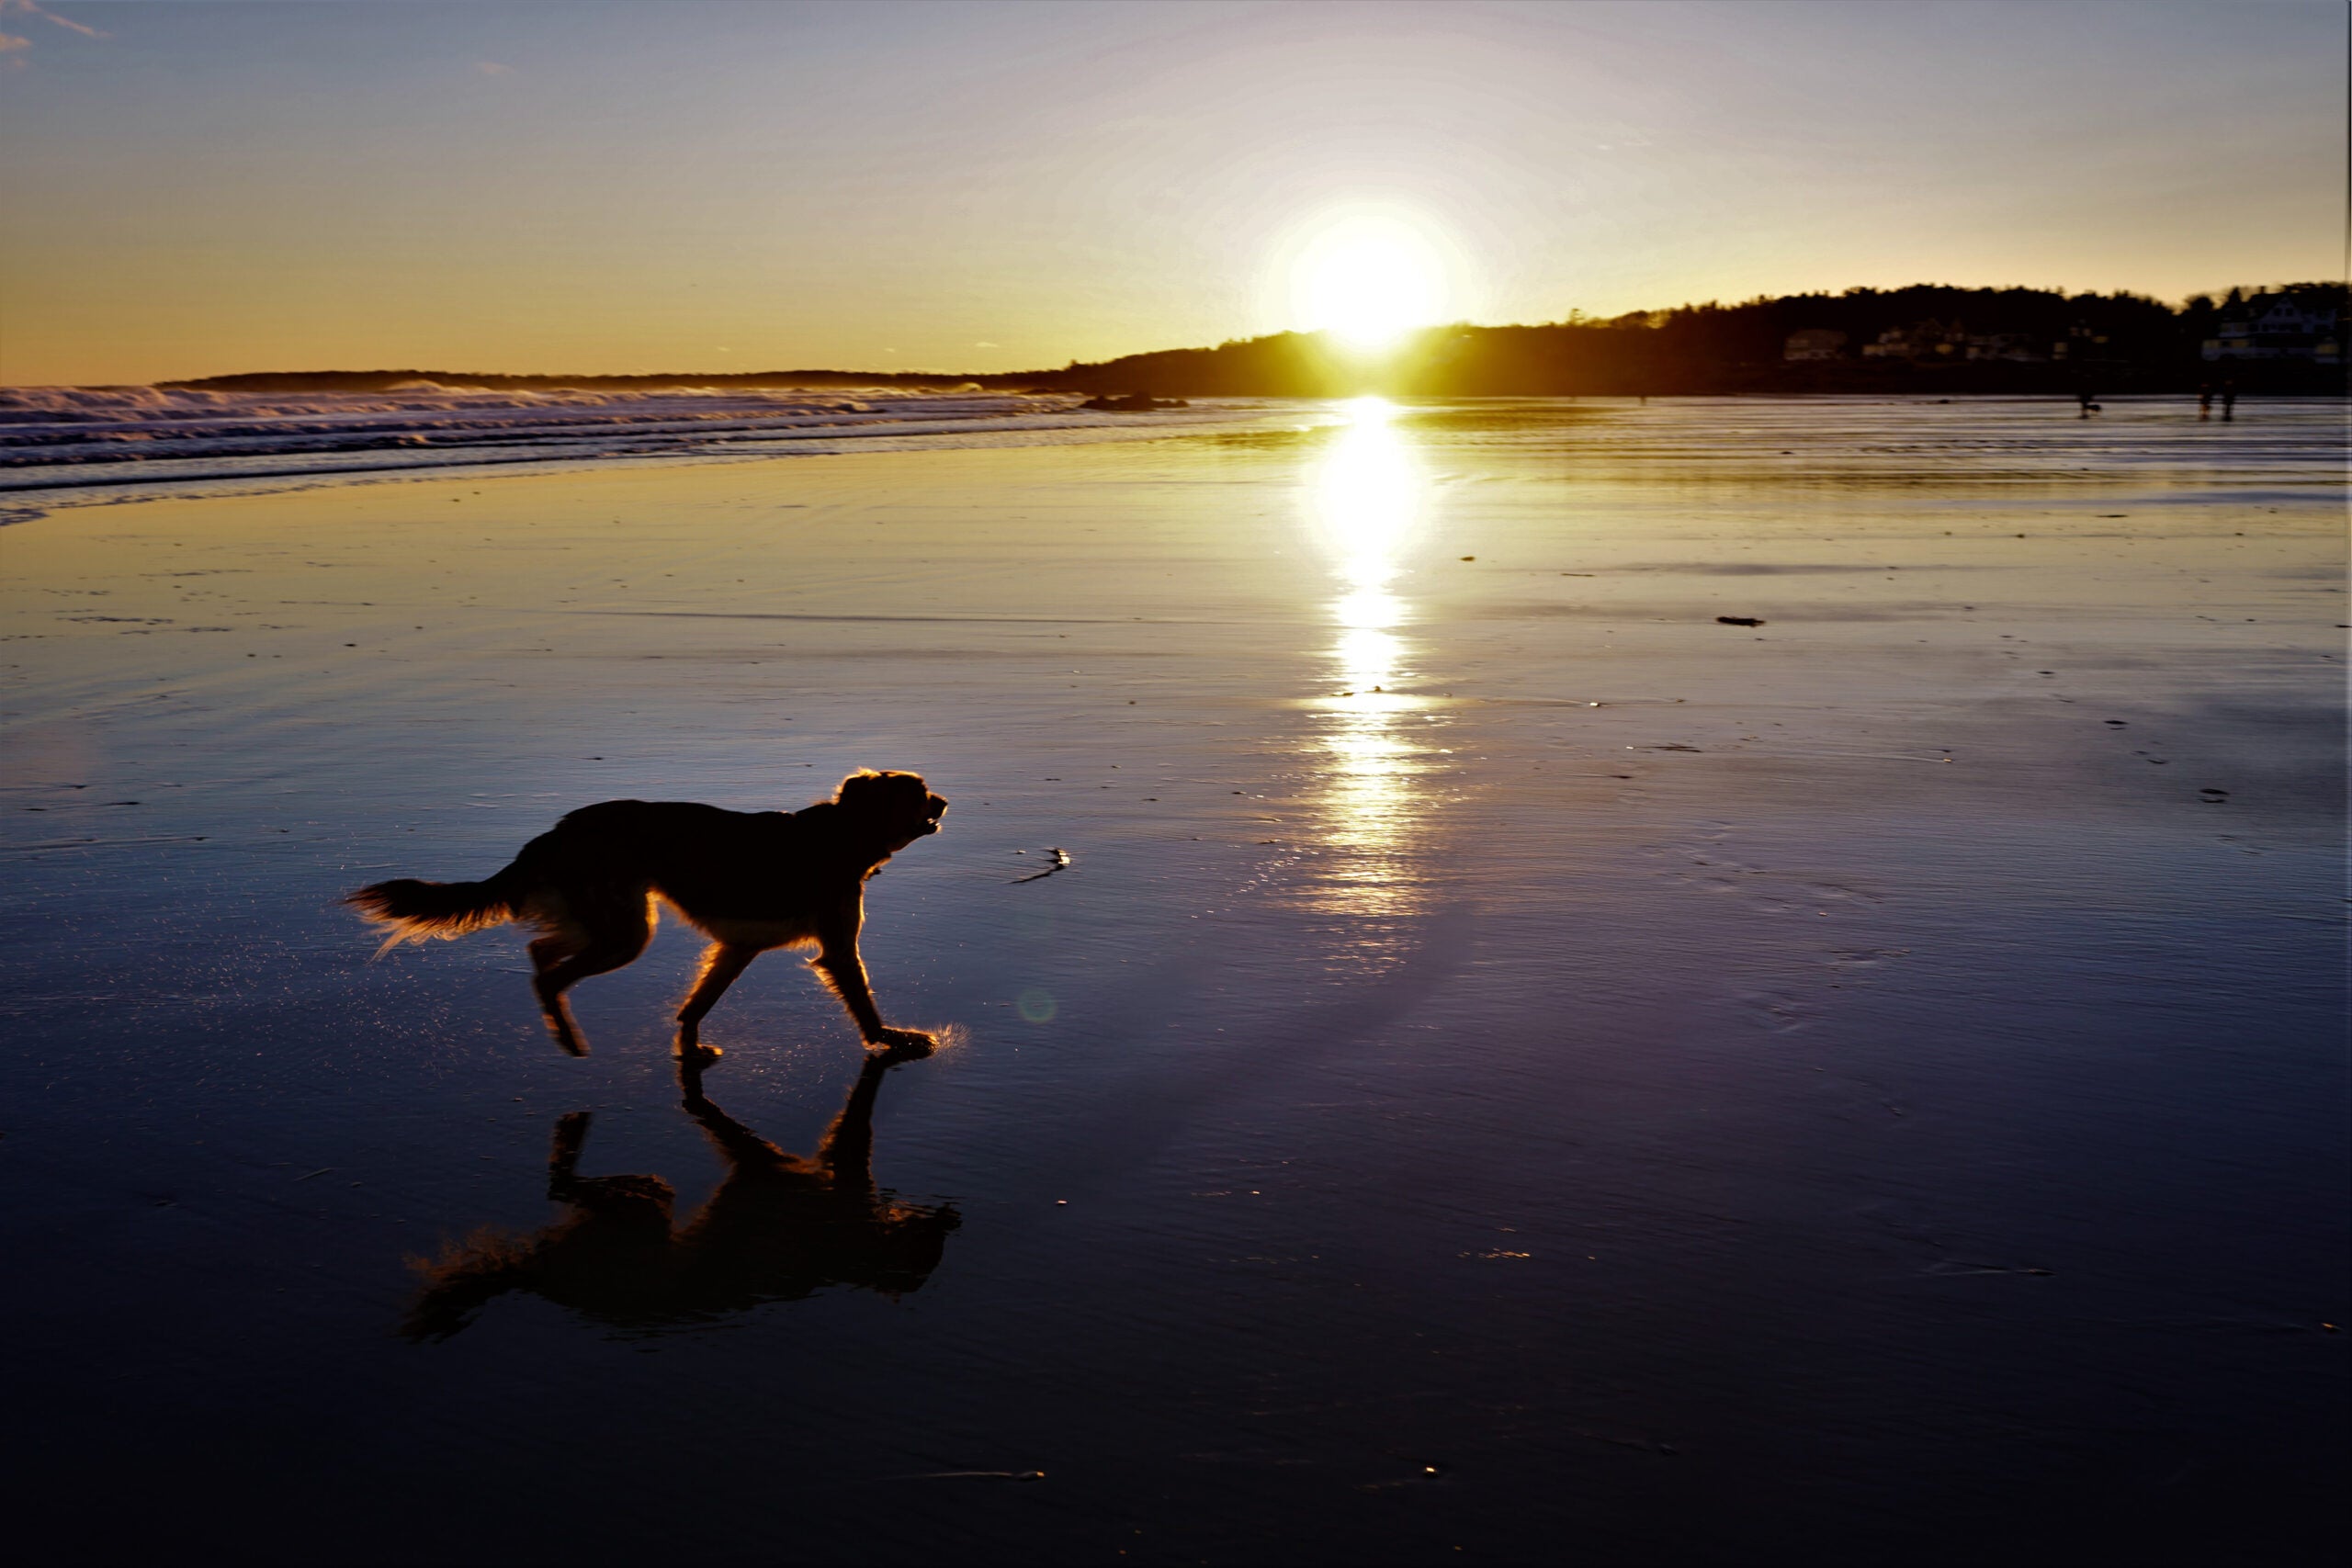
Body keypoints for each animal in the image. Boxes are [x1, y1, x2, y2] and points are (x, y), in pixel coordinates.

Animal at [347, 771, 945, 1053]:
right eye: (919, 791)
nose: (944, 802)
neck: (844, 831)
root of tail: (559, 830)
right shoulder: (838, 948)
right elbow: (863, 1004)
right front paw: (890, 1040)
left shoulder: (738, 946)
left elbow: (698, 1004)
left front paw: (690, 1046)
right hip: (625, 932)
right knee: (550, 975)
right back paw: (567, 1036)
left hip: (610, 923)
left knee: (541, 951)